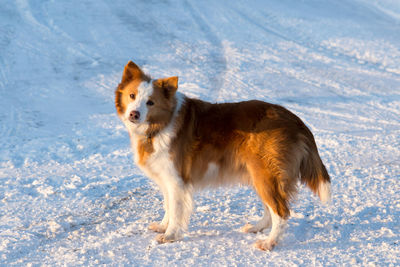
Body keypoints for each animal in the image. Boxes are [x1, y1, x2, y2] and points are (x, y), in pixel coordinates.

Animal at [113, 60, 332, 251]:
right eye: (132, 96)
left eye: (150, 102)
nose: (134, 114)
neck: (160, 124)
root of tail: (295, 120)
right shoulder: (166, 178)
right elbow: (168, 205)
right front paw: (162, 226)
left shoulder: (177, 180)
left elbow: (176, 209)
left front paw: (170, 236)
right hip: (259, 175)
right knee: (271, 209)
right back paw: (256, 228)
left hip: (266, 174)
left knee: (281, 212)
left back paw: (269, 242)